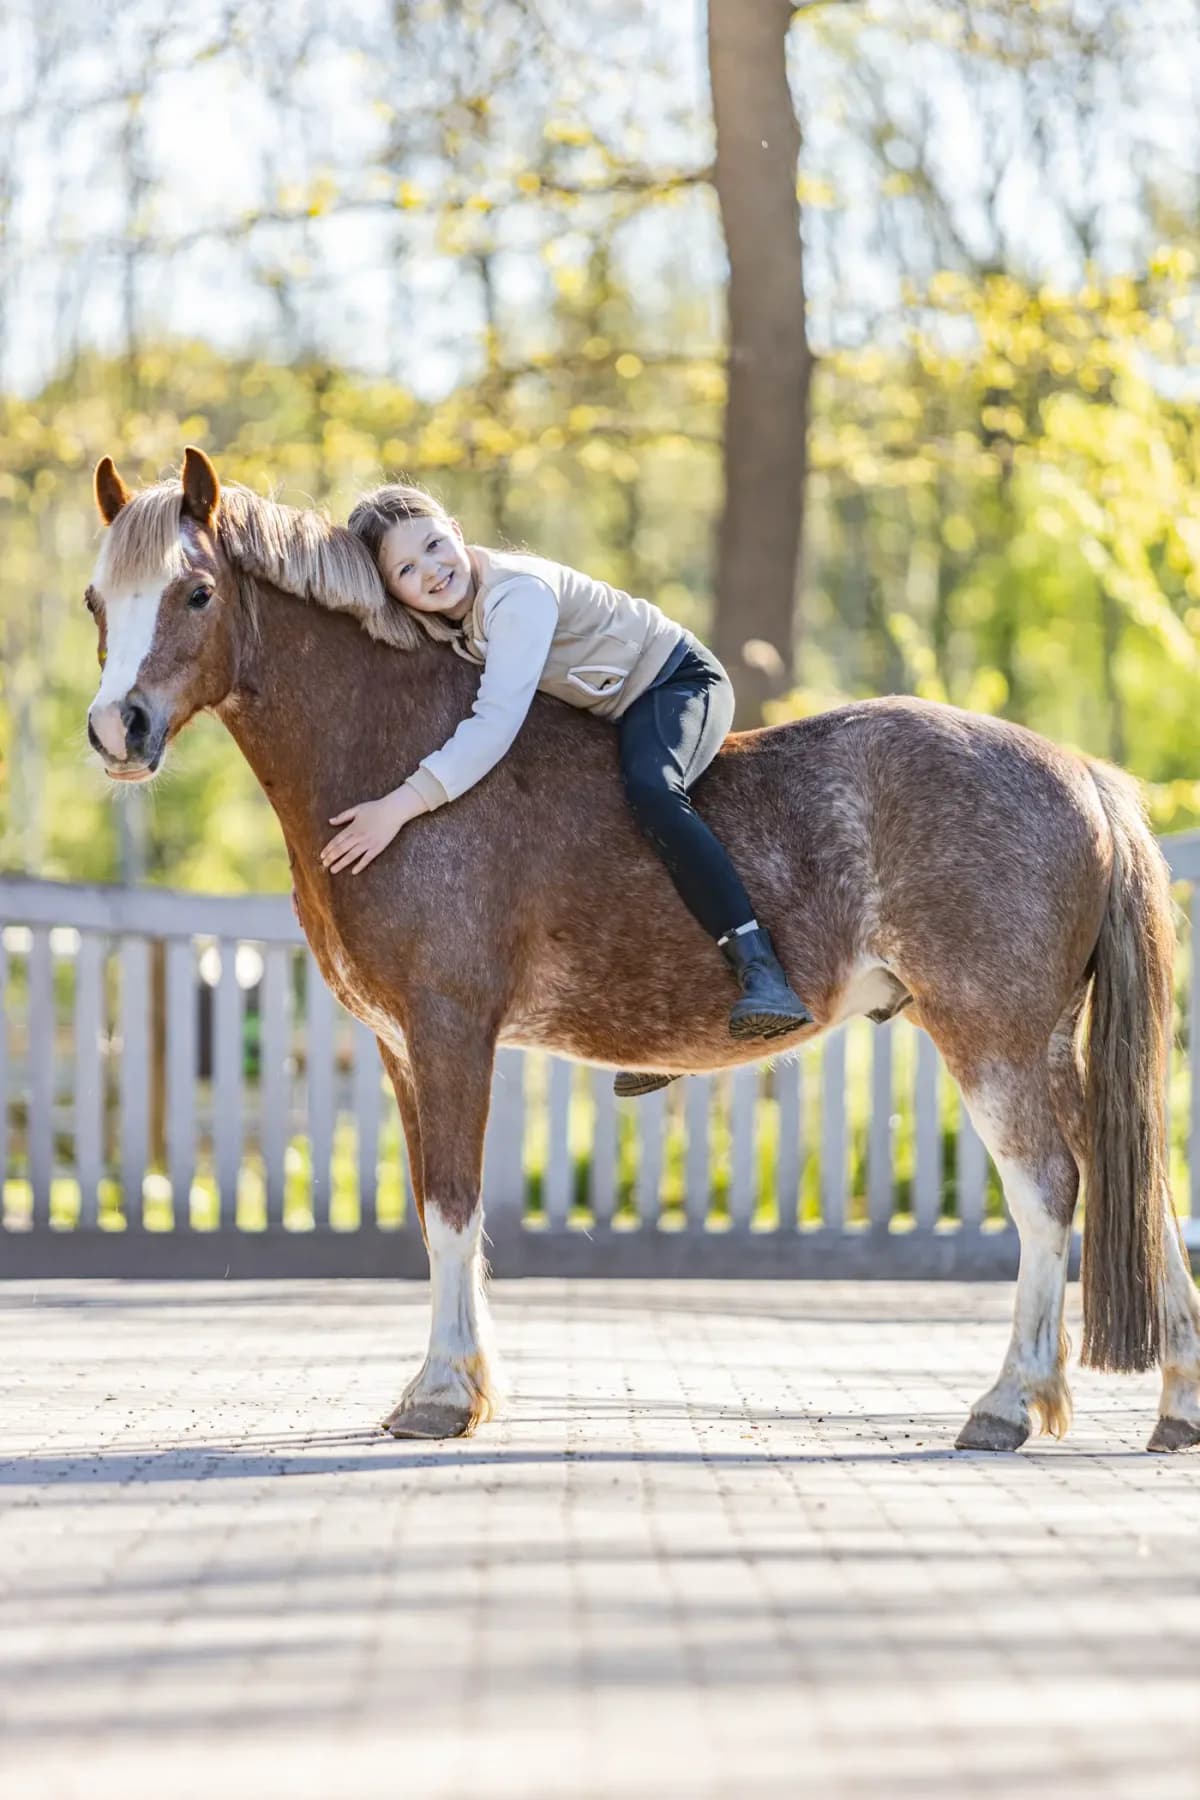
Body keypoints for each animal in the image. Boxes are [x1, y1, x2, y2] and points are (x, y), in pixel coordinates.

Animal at [82, 446, 1200, 1452]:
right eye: (97, 601)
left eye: (195, 592)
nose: (116, 730)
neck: (398, 759)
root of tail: (1084, 774)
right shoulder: (404, 1047)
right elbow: (436, 1213)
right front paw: (461, 1387)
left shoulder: (450, 1032)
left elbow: (452, 1209)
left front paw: (441, 1395)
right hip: (1050, 1047)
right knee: (1138, 1187)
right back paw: (1172, 1408)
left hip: (993, 1042)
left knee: (1049, 1192)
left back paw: (1007, 1405)